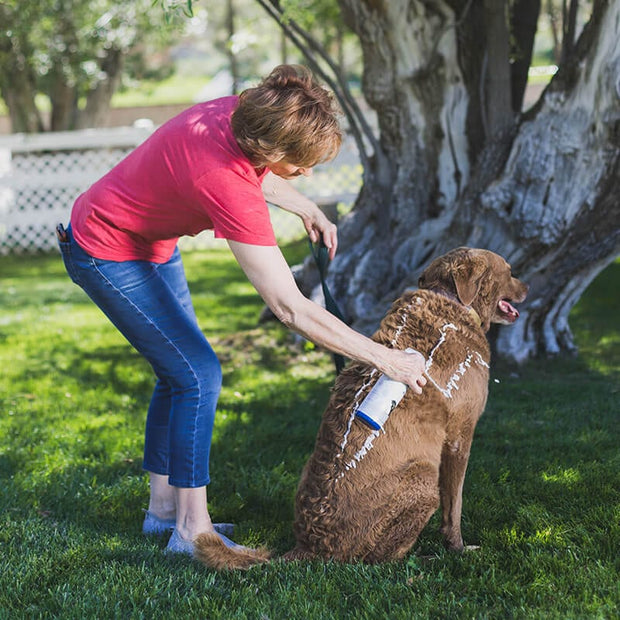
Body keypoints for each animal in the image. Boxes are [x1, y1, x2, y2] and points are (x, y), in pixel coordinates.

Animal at [195, 246, 528, 568]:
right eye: (510, 271)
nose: (527, 287)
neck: (453, 300)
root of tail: (309, 546)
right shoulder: (460, 435)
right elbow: (454, 506)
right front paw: (458, 548)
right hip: (422, 476)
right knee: (379, 561)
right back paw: (424, 559)